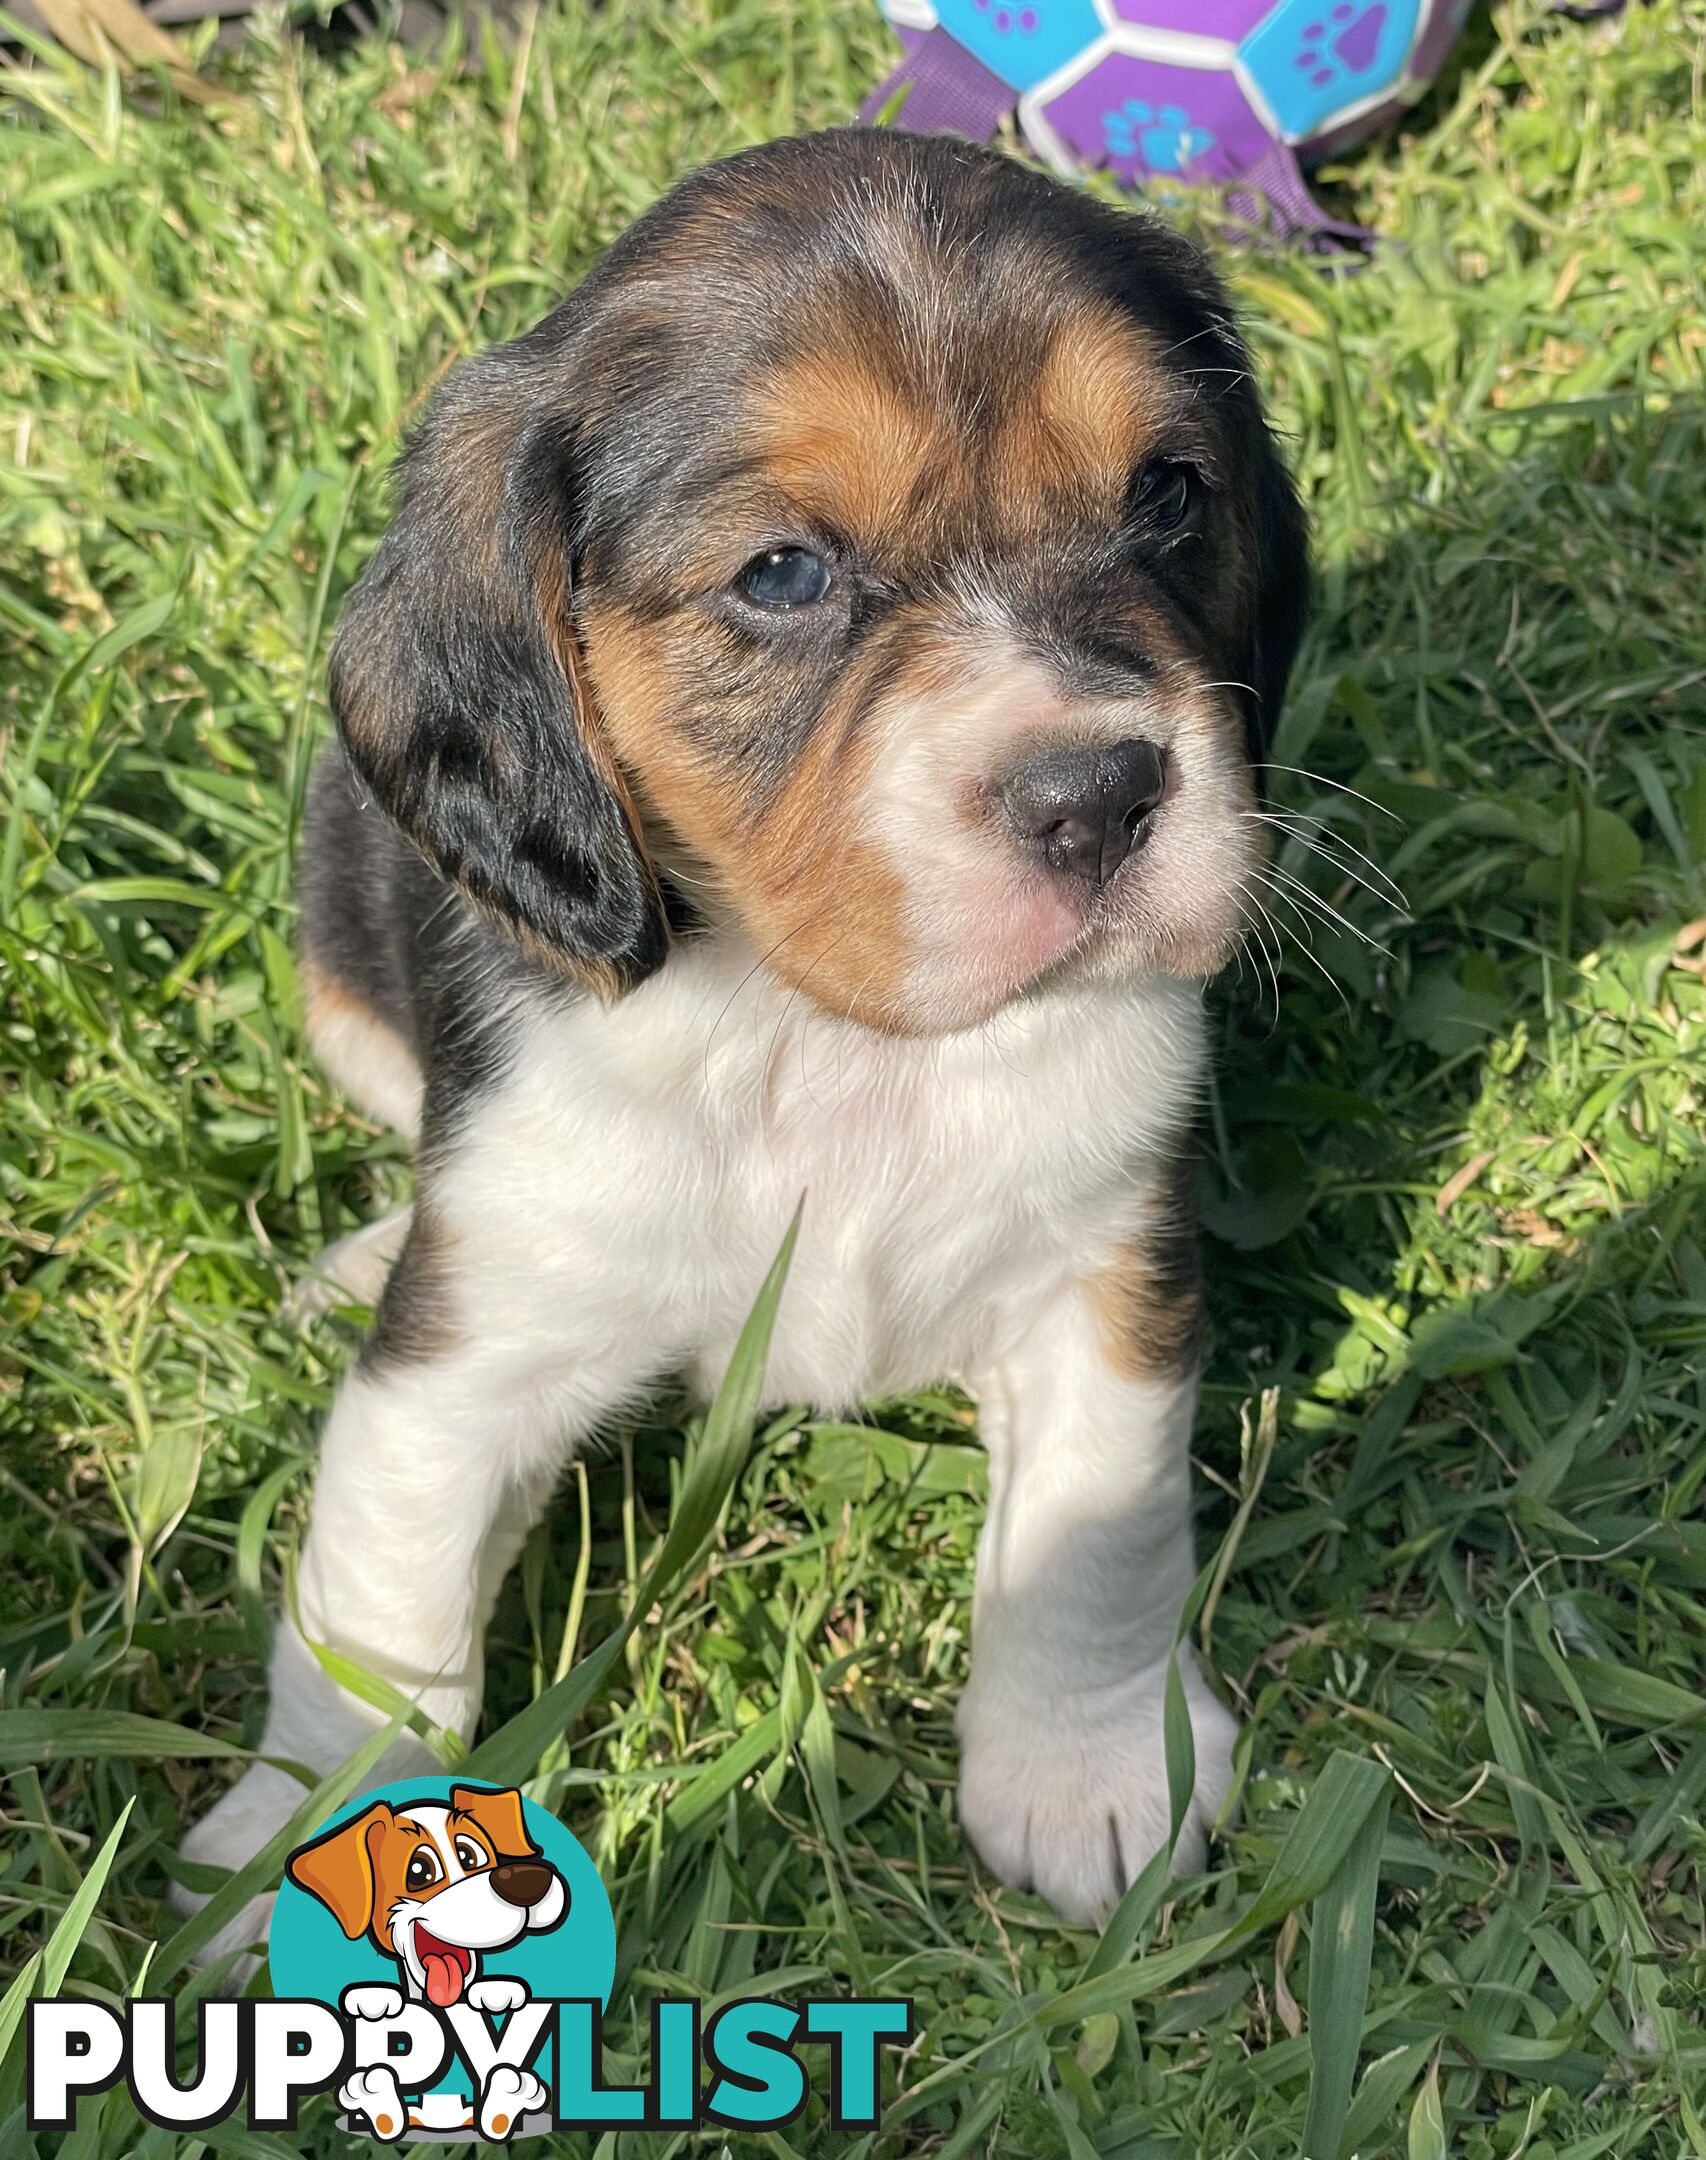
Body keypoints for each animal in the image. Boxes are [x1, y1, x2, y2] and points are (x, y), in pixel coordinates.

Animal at [180, 126, 1312, 1935]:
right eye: (782, 574)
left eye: (1166, 495)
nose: (1099, 792)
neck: (826, 1033)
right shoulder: (463, 1366)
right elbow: (379, 1619)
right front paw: (313, 1841)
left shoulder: (1099, 1271)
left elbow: (1098, 1535)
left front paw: (1092, 1775)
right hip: (339, 940)